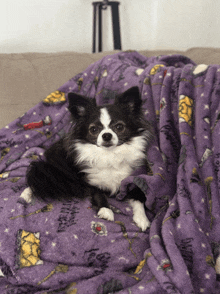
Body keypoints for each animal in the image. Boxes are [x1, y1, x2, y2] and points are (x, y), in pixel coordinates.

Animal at [24, 86, 152, 231]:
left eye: (119, 127)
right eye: (94, 129)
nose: (106, 135)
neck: (109, 155)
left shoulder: (132, 179)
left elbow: (139, 197)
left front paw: (142, 218)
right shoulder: (91, 182)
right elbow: (99, 194)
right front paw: (106, 210)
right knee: (45, 176)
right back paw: (26, 194)